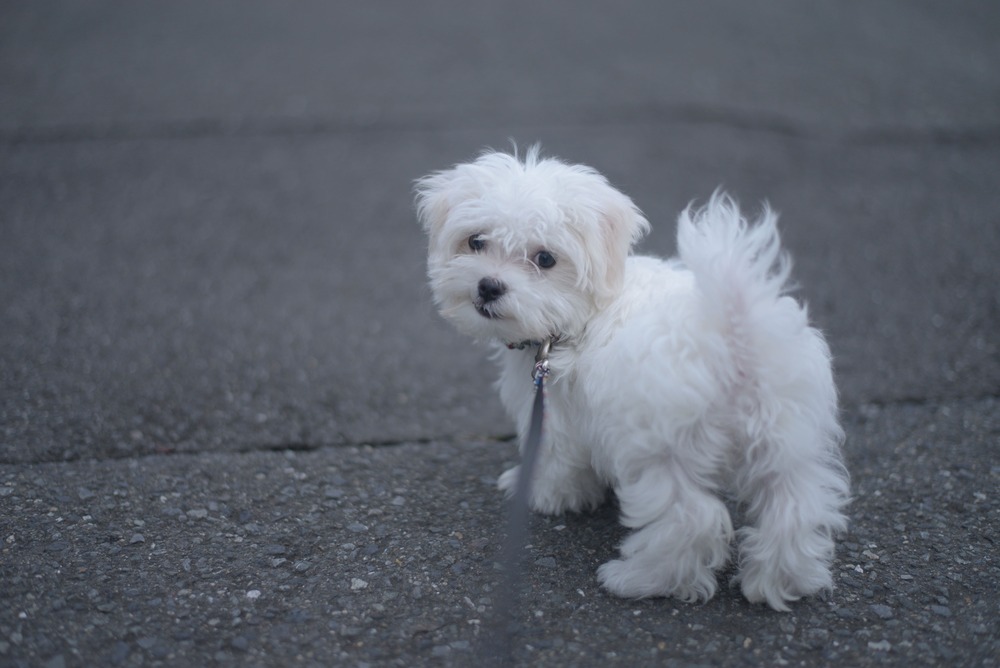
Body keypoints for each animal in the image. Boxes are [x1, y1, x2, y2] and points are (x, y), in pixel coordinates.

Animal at [414, 145, 852, 612]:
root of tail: (734, 337)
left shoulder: (557, 414)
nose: (489, 286)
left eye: (545, 259)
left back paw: (640, 578)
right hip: (785, 439)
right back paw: (780, 582)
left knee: (690, 519)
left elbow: (556, 460)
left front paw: (538, 493)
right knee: (795, 505)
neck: (581, 315)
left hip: (659, 448)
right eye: (476, 241)